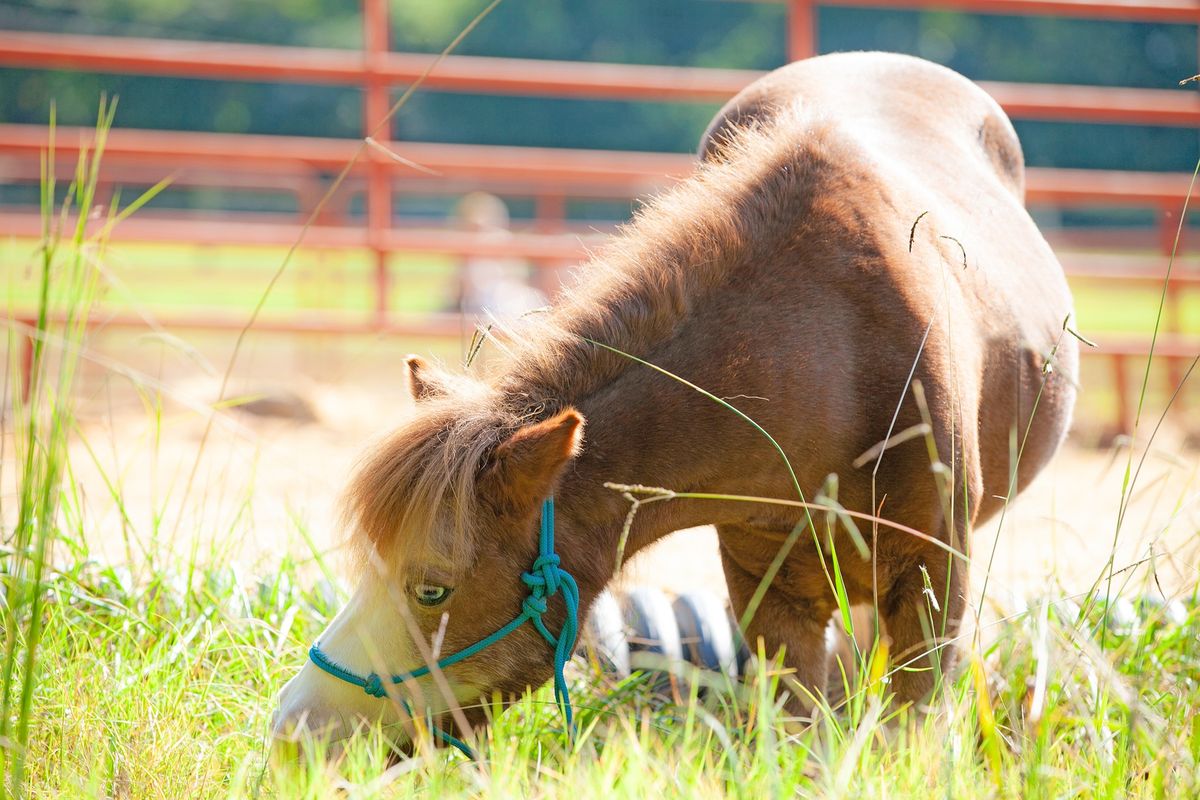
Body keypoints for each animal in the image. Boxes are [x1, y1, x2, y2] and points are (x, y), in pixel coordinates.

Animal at [274, 51, 1080, 753]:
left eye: (431, 589)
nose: (296, 727)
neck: (831, 352)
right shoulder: (772, 598)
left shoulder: (933, 588)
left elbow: (906, 730)